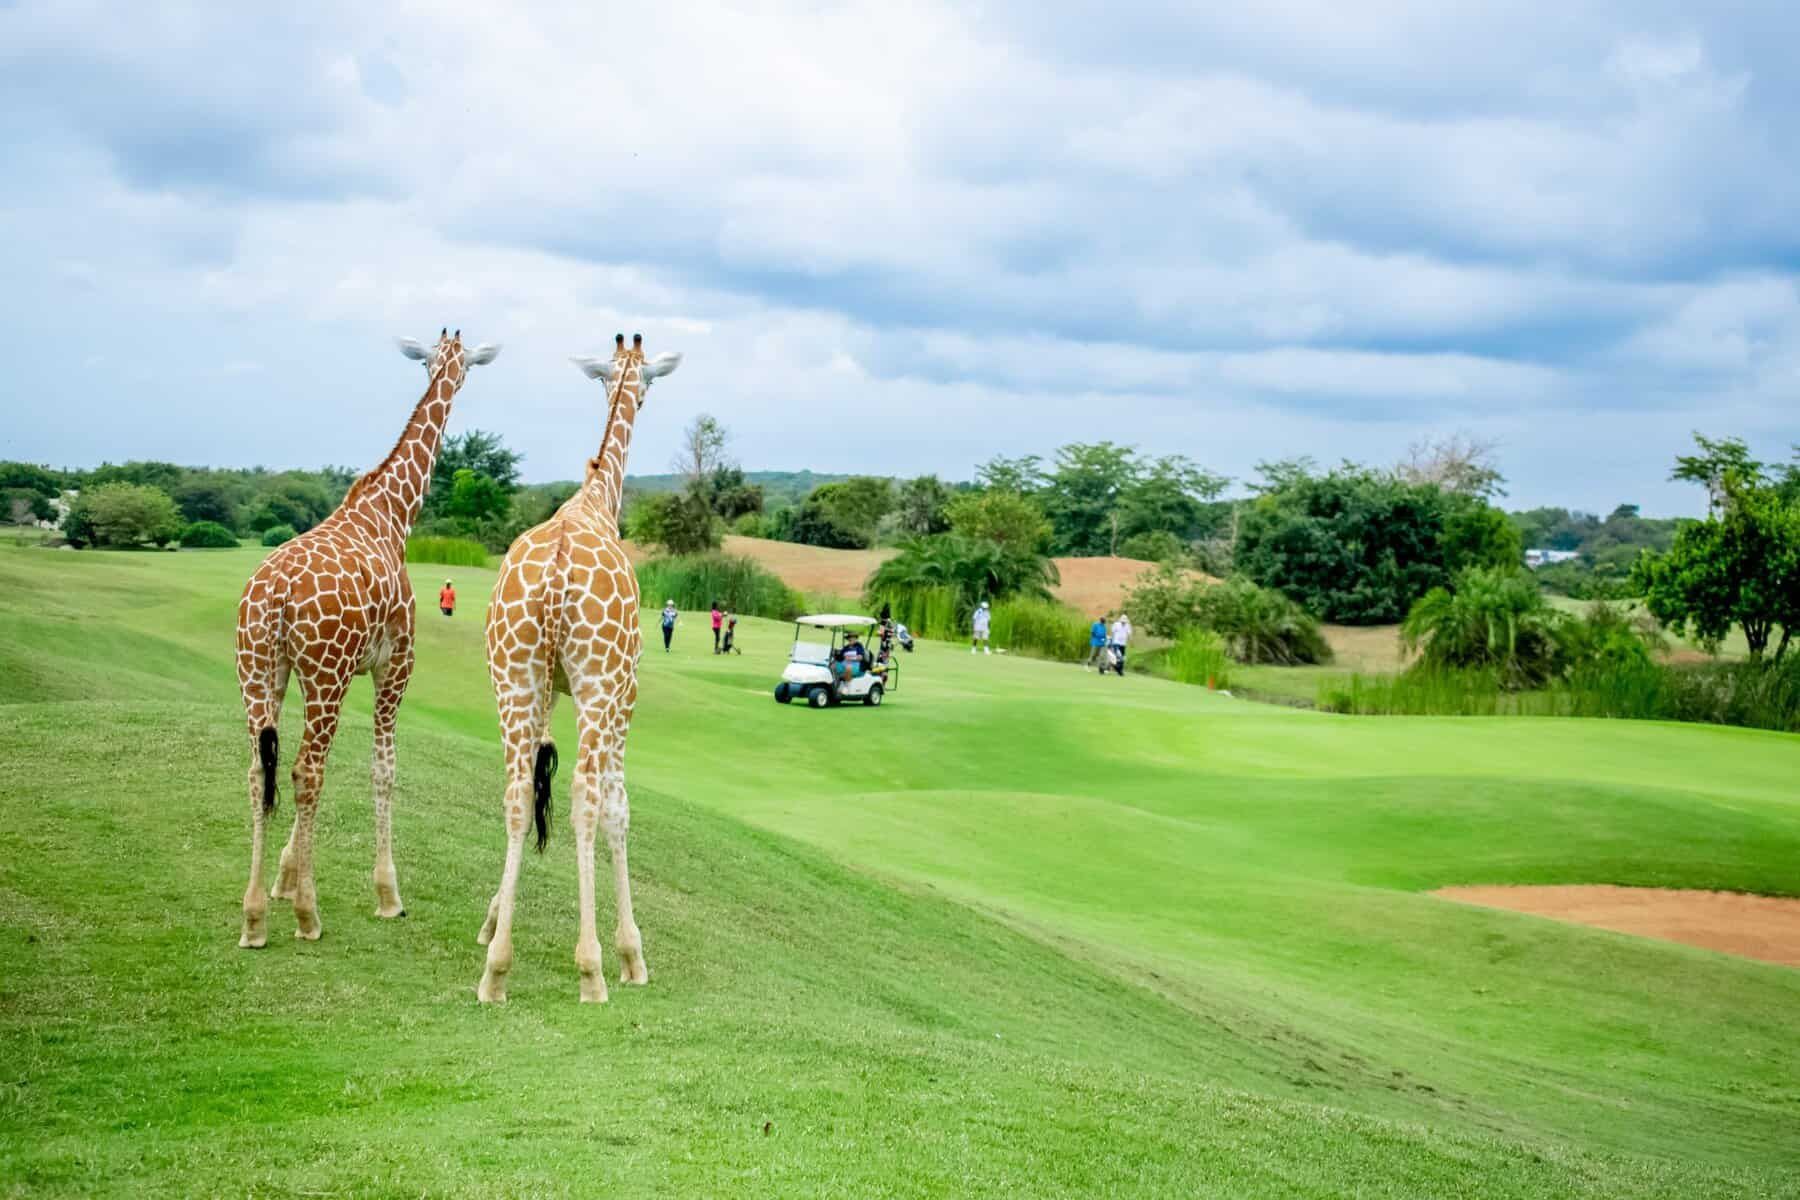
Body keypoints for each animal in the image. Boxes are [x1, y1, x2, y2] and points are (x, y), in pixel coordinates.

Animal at [236, 329, 500, 949]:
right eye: (459, 363)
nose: (454, 374)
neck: (394, 512)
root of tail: (273, 598)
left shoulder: (336, 670)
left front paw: (284, 877)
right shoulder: (394, 665)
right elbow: (385, 767)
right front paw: (387, 894)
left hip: (260, 668)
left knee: (261, 769)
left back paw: (254, 917)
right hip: (322, 675)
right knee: (305, 770)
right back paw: (308, 916)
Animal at [476, 332, 680, 1002]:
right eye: (648, 383)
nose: (641, 394)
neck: (596, 499)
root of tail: (557, 574)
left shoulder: (548, 687)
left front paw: (492, 919)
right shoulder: (624, 691)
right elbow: (618, 806)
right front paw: (631, 953)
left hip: (511, 675)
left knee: (517, 791)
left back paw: (496, 970)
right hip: (597, 681)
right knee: (587, 796)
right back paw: (592, 968)